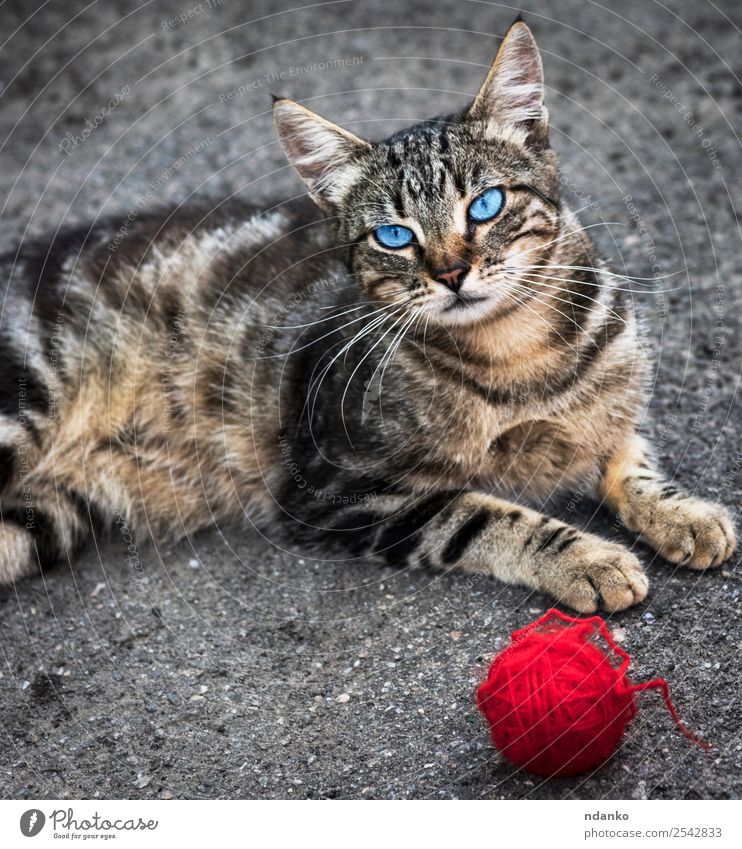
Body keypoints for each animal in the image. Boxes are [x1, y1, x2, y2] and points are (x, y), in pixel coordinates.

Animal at [0, 18, 736, 608]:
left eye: (486, 205)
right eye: (394, 236)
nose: (451, 273)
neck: (520, 356)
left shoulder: (612, 404)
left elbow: (631, 454)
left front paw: (683, 513)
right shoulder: (334, 485)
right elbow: (480, 513)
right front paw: (586, 559)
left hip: (43, 517)